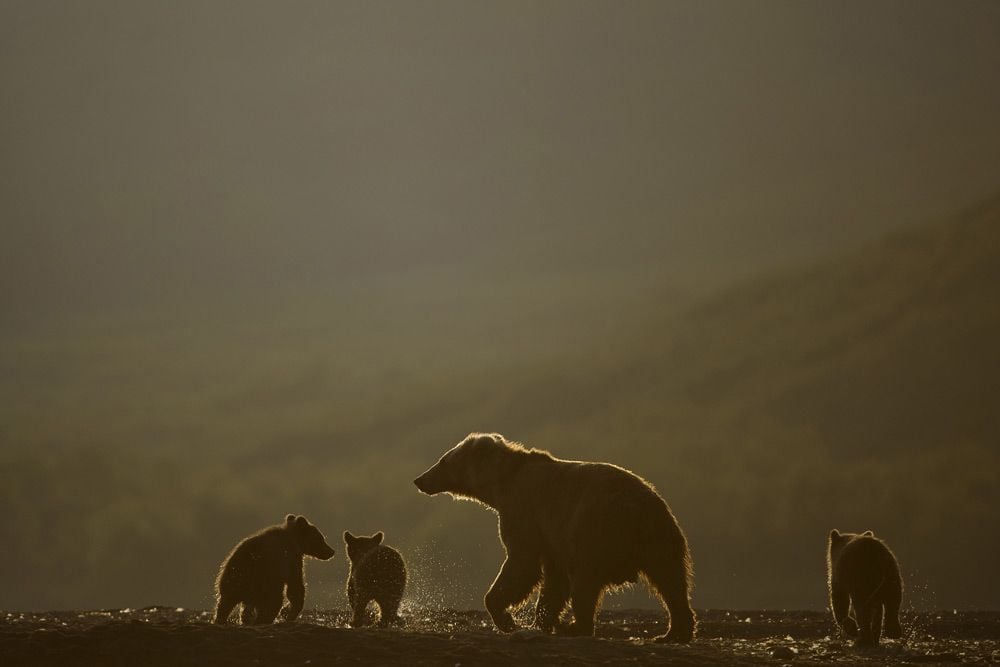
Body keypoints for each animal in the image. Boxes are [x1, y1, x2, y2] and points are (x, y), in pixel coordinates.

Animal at [414, 434, 696, 640]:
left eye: (443, 460)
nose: (419, 479)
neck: (501, 485)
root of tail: (637, 509)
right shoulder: (552, 538)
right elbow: (554, 580)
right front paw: (540, 621)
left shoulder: (525, 512)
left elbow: (522, 563)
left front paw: (508, 619)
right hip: (659, 536)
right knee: (671, 580)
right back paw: (674, 632)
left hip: (594, 531)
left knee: (585, 581)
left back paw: (575, 627)